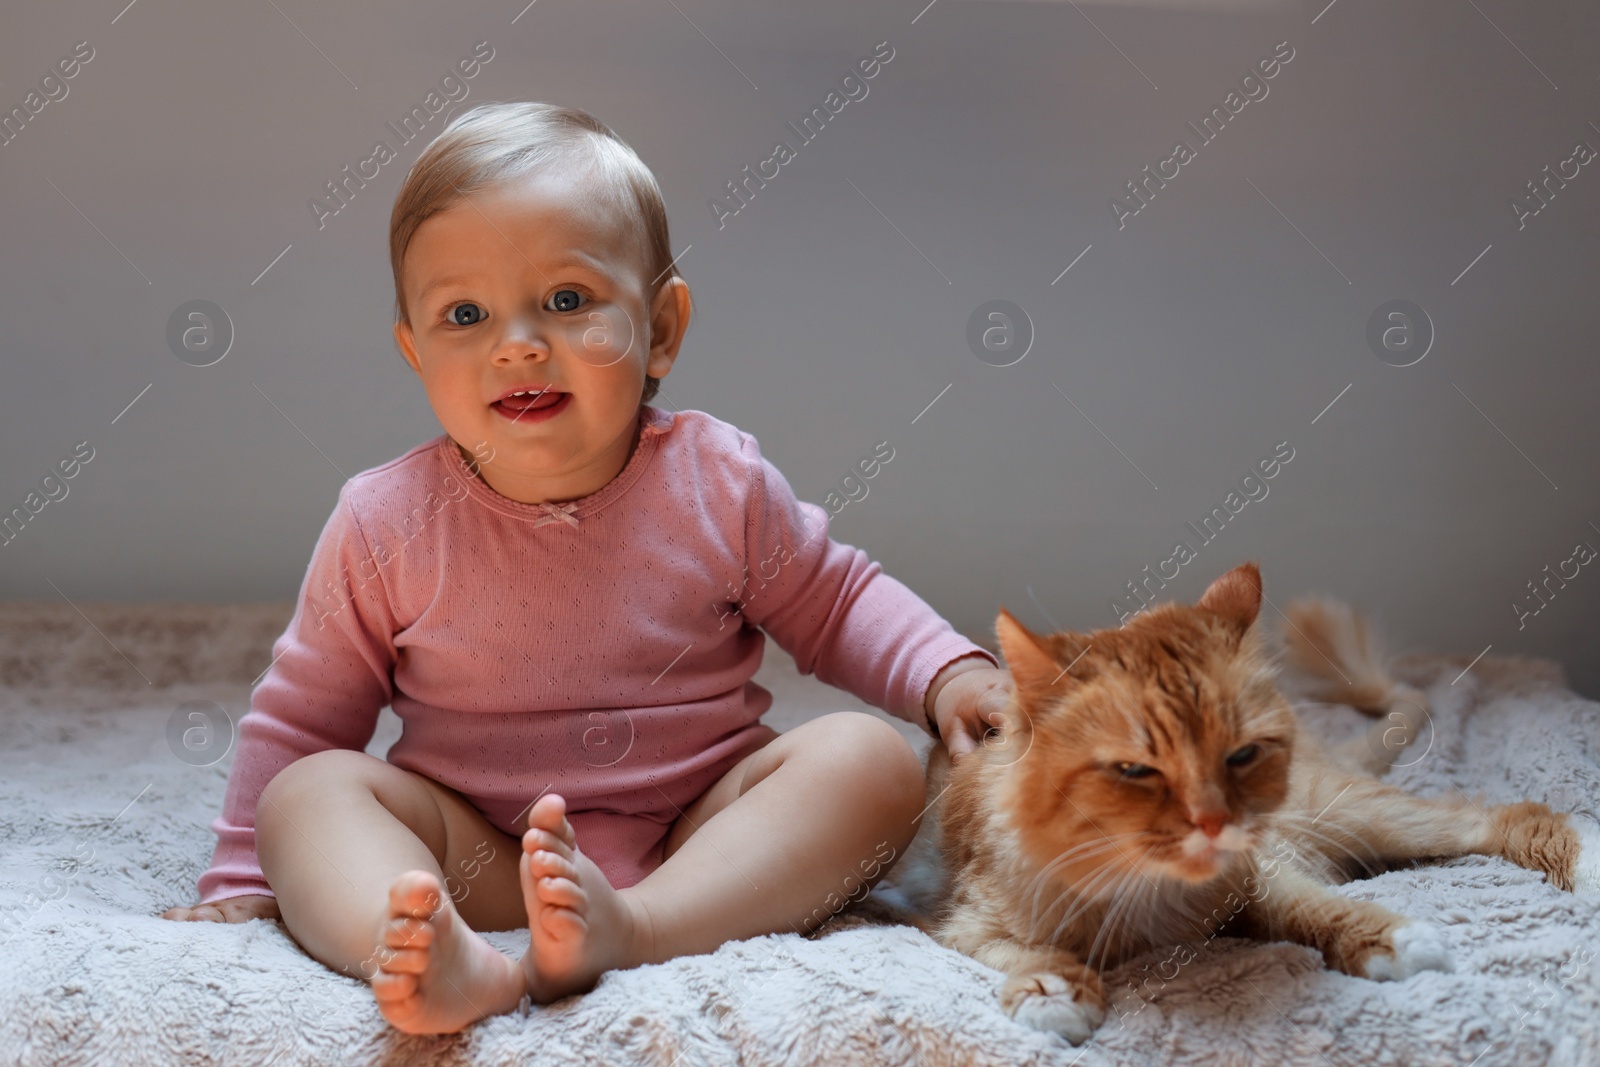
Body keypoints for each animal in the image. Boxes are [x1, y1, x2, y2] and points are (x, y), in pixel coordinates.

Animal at [902, 563, 1600, 1049]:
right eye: (1136, 770)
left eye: (1239, 755)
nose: (1214, 821)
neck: (1144, 892)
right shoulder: (959, 922)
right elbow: (1025, 953)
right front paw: (1054, 990)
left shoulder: (1260, 875)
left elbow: (1313, 910)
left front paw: (1391, 938)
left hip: (1358, 814)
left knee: (1503, 816)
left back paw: (1587, 864)